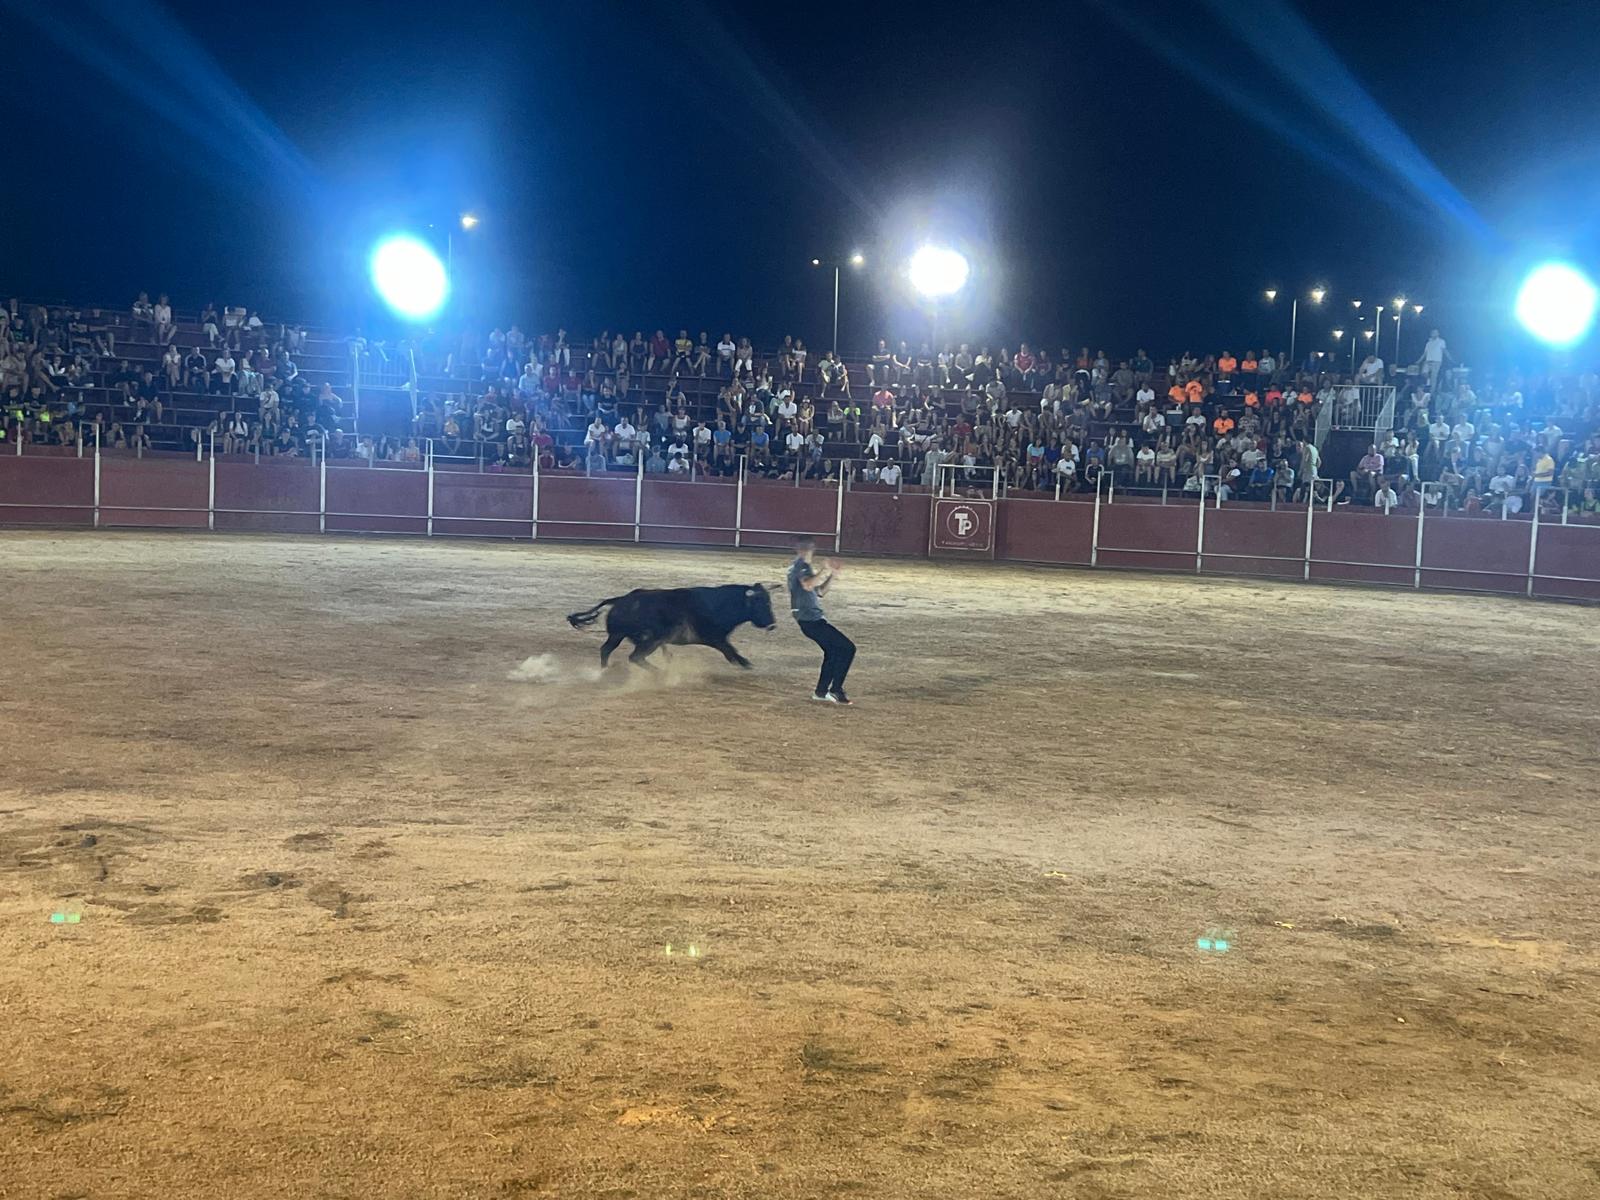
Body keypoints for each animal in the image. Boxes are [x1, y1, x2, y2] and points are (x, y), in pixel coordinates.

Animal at [569, 582, 780, 668]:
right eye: (763, 603)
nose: (772, 624)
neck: (720, 603)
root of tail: (621, 599)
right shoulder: (714, 637)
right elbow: (730, 650)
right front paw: (745, 663)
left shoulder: (717, 638)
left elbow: (730, 650)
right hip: (649, 640)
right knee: (635, 657)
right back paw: (660, 673)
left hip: (618, 635)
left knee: (606, 650)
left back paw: (604, 670)